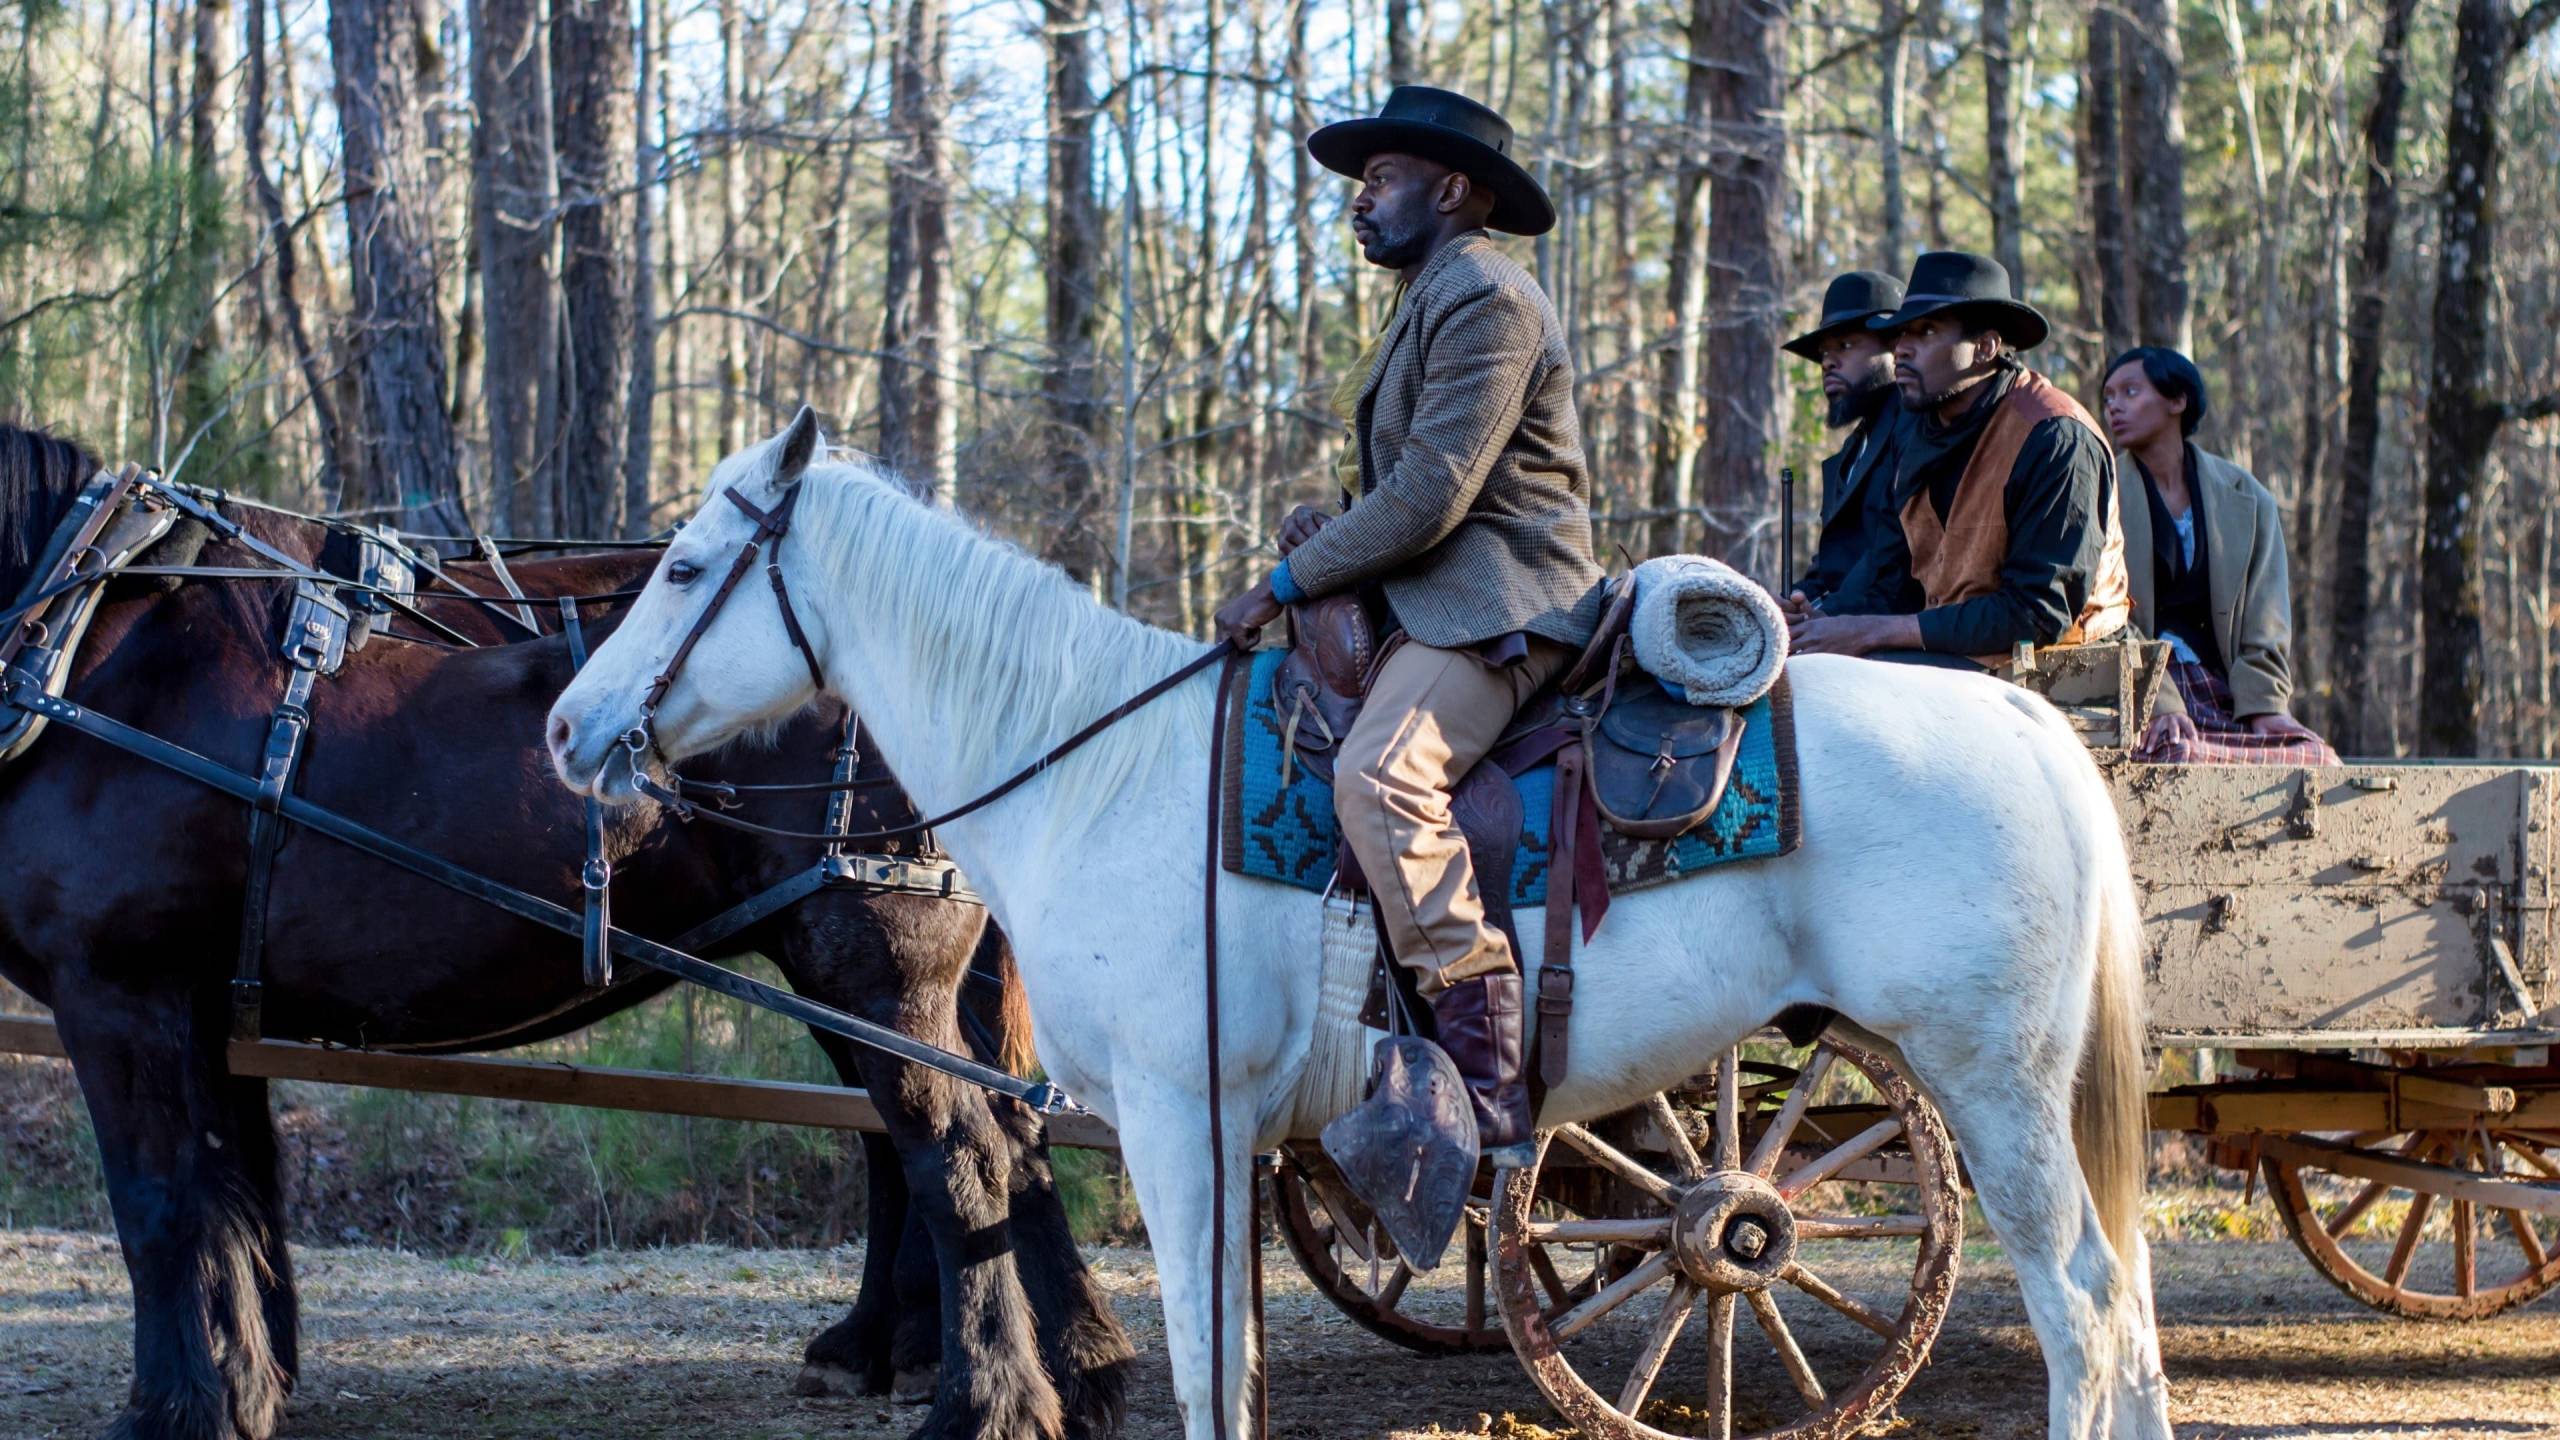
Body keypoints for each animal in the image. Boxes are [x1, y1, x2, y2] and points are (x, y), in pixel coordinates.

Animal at [0, 422, 1131, 1434]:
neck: (91, 625)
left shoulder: (120, 989)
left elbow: (161, 1205)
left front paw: (177, 1408)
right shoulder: (206, 1003)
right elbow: (236, 1200)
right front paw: (247, 1385)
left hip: (876, 967)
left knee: (960, 1156)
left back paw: (988, 1401)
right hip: (845, 972)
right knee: (966, 1142)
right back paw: (1006, 1359)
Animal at [550, 415, 2170, 1434]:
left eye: (682, 570)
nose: (567, 730)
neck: (1100, 769)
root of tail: (2026, 719)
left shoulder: (1180, 1118)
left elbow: (1207, 1370)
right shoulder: (1222, 1137)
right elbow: (1234, 1369)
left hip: (1987, 1084)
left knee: (2083, 1309)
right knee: (2129, 1317)